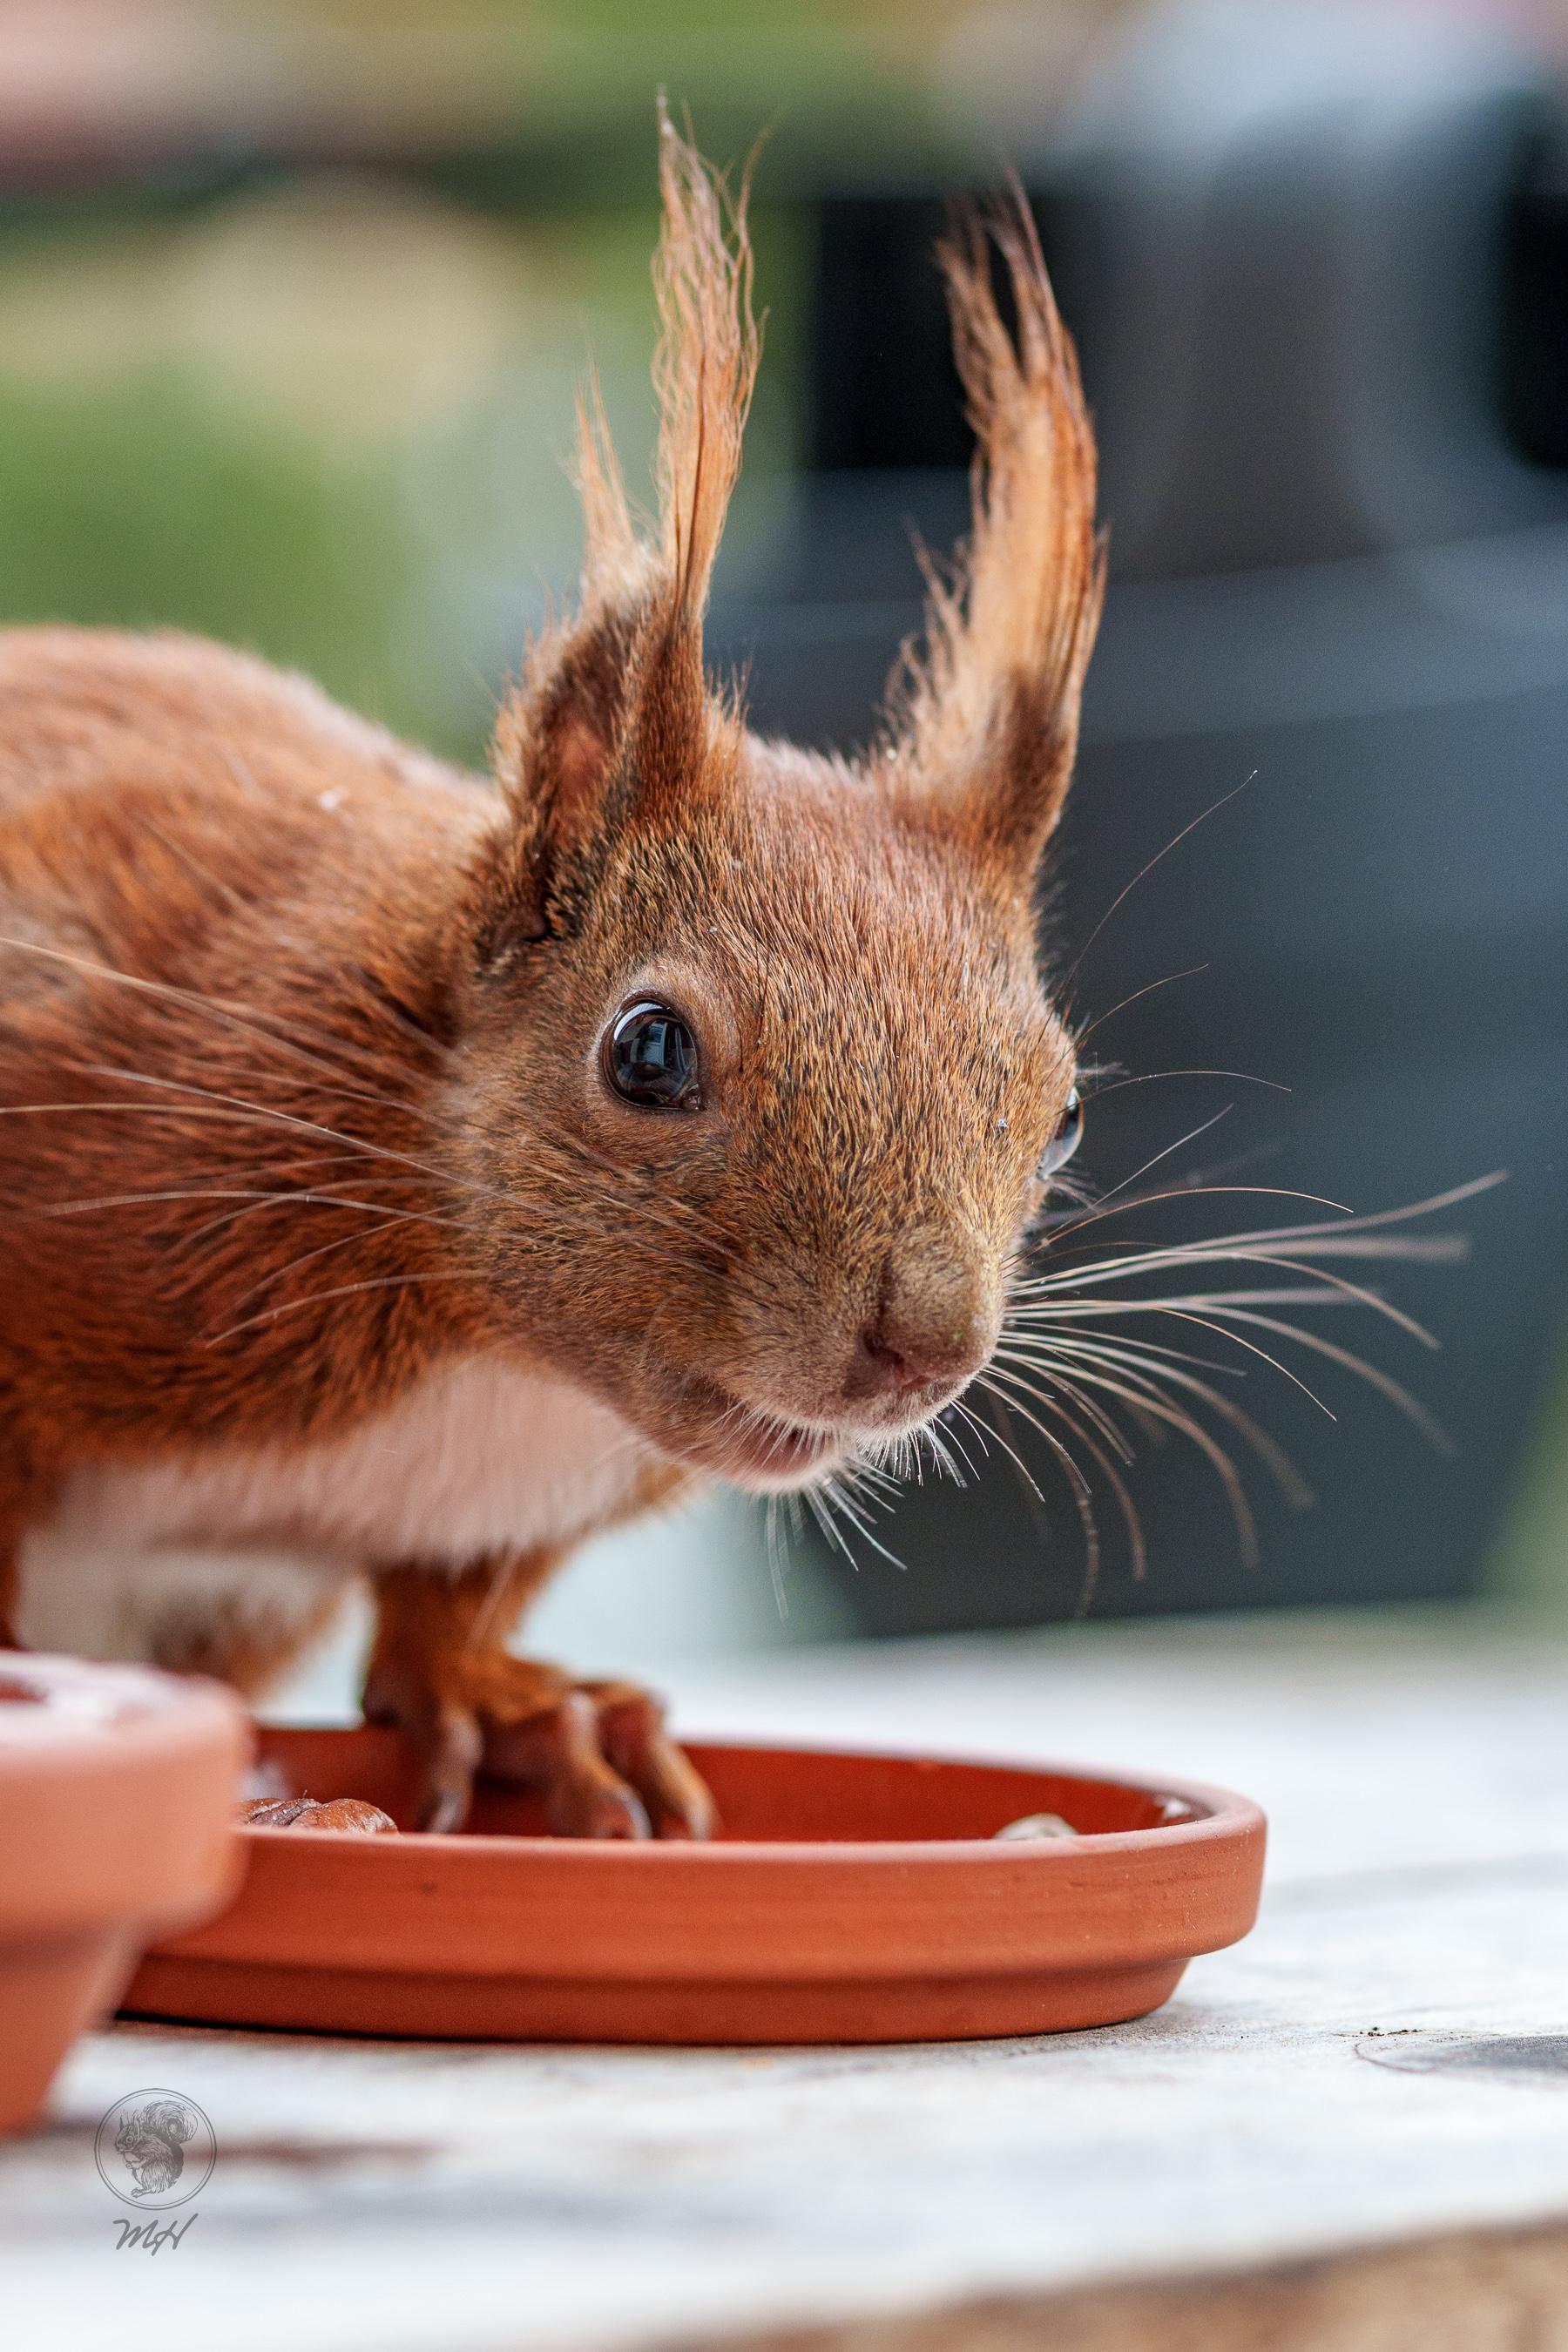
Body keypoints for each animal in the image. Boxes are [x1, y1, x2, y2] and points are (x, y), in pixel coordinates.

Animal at [0, 112, 1101, 1837]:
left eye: (1062, 1118)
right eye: (647, 1050)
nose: (925, 1348)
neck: (505, 1355)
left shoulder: (501, 1508)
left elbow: (445, 1614)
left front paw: (524, 1714)